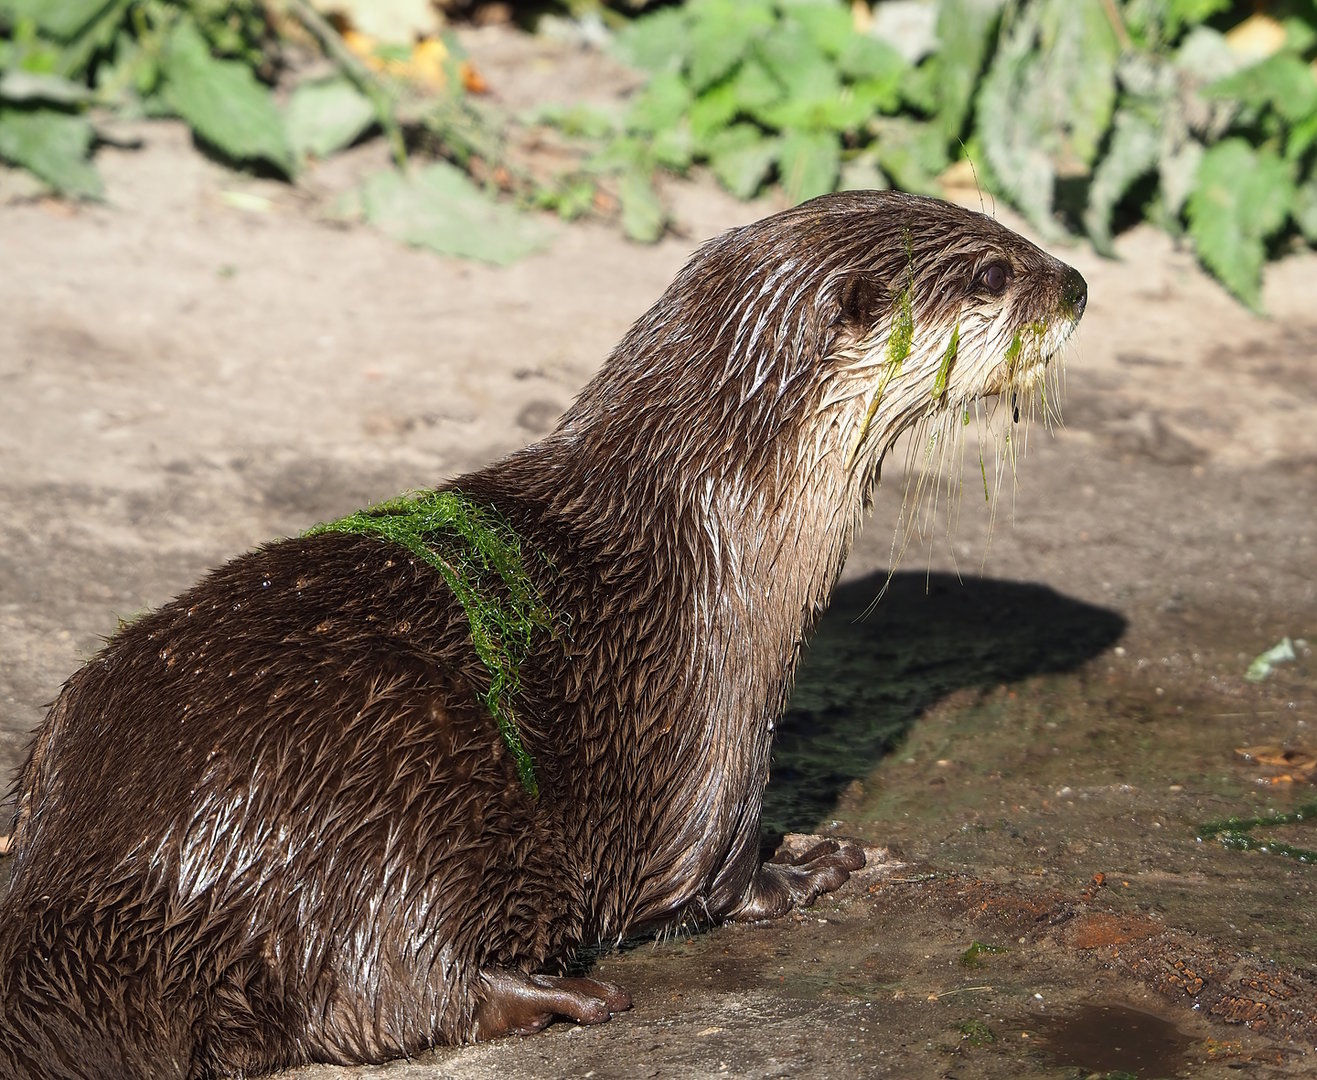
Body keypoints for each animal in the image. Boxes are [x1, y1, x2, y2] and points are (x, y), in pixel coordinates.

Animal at [0, 190, 1086, 1078]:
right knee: (384, 993)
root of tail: (130, 880)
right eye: (994, 275)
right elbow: (706, 877)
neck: (715, 519)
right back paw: (561, 994)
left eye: (1010, 235)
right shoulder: (718, 704)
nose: (1075, 284)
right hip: (399, 812)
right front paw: (803, 868)